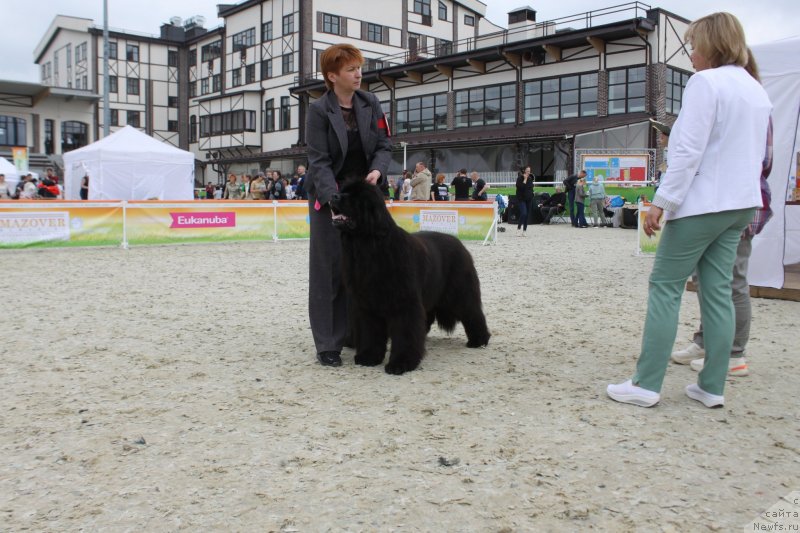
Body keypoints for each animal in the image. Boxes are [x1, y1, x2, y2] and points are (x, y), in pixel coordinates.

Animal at [328, 179, 490, 374]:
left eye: (355, 196)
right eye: (343, 191)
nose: (333, 196)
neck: (369, 246)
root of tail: (459, 244)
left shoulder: (404, 302)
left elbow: (405, 332)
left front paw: (401, 363)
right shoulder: (366, 304)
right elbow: (370, 331)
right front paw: (368, 356)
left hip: (460, 293)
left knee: (473, 313)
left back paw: (479, 340)